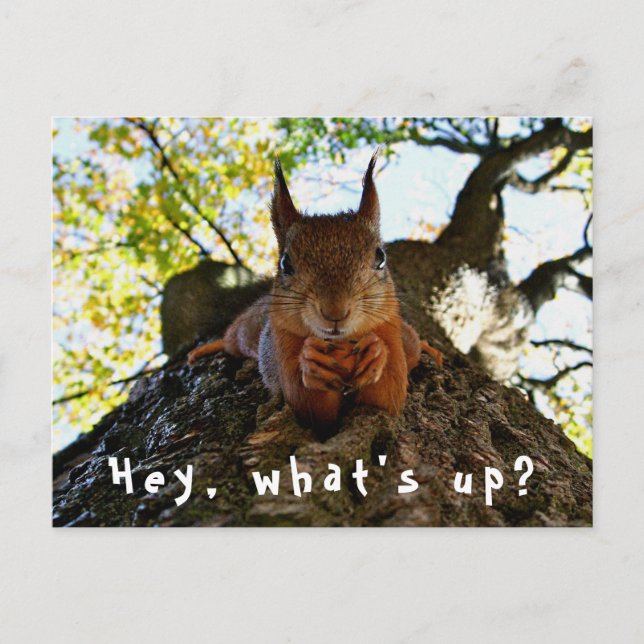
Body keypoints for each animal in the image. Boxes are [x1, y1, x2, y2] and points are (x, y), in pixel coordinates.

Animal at [188, 152, 443, 436]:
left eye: (380, 257)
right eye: (285, 263)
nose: (335, 312)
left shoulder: (390, 330)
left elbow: (388, 396)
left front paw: (376, 352)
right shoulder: (282, 344)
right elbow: (309, 407)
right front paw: (311, 362)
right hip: (246, 332)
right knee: (231, 339)